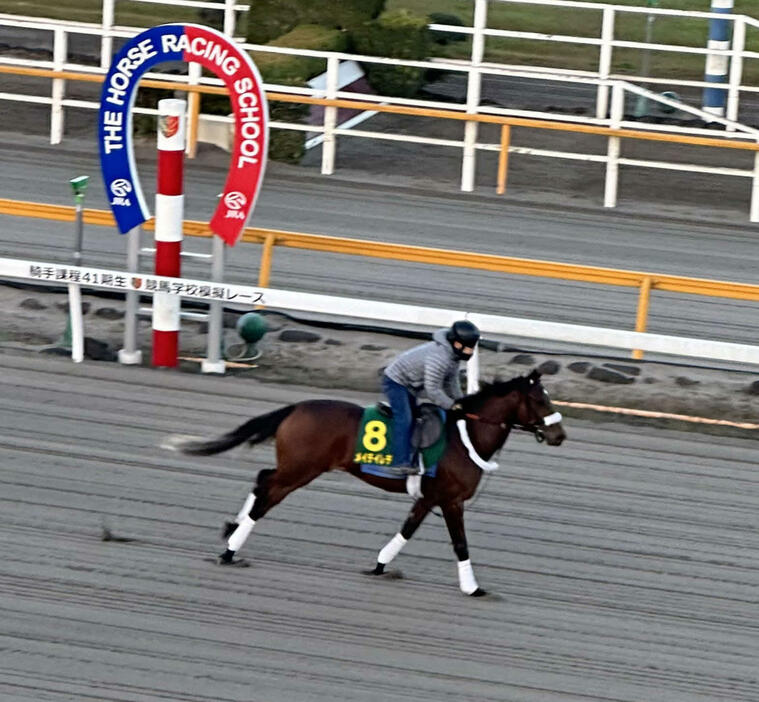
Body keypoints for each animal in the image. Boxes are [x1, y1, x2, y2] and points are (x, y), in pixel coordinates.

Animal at [169, 372, 568, 596]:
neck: (465, 435)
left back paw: (231, 529)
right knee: (266, 494)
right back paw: (230, 551)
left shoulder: (428, 497)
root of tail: (296, 408)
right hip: (301, 469)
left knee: (262, 479)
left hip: (296, 467)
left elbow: (407, 530)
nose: (560, 435)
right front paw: (473, 588)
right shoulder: (451, 500)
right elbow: (460, 544)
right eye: (538, 399)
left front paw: (379, 566)